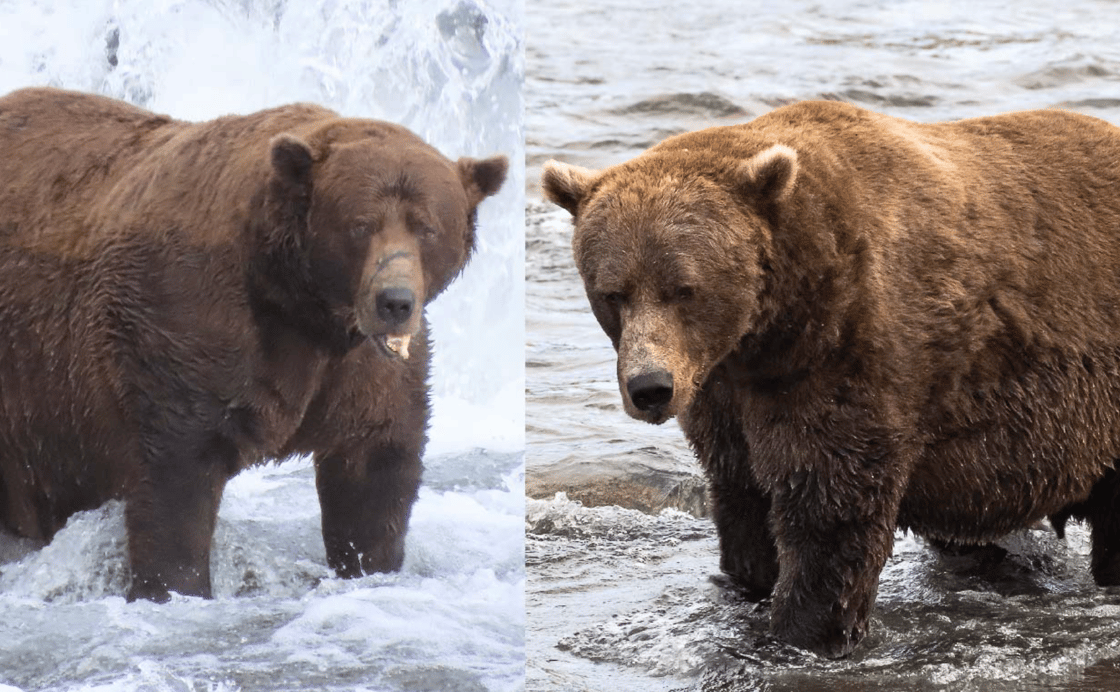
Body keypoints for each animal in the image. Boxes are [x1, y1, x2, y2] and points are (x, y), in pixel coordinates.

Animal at [0, 87, 507, 602]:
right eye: (360, 224)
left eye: (426, 227)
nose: (395, 301)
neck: (303, 306)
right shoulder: (185, 326)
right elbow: (176, 480)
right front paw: (173, 586)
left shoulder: (364, 371)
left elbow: (375, 467)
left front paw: (369, 564)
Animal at [541, 99, 1120, 658]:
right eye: (613, 292)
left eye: (684, 288)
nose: (651, 388)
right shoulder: (724, 396)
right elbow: (743, 500)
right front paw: (749, 585)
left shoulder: (845, 355)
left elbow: (829, 510)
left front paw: (800, 633)